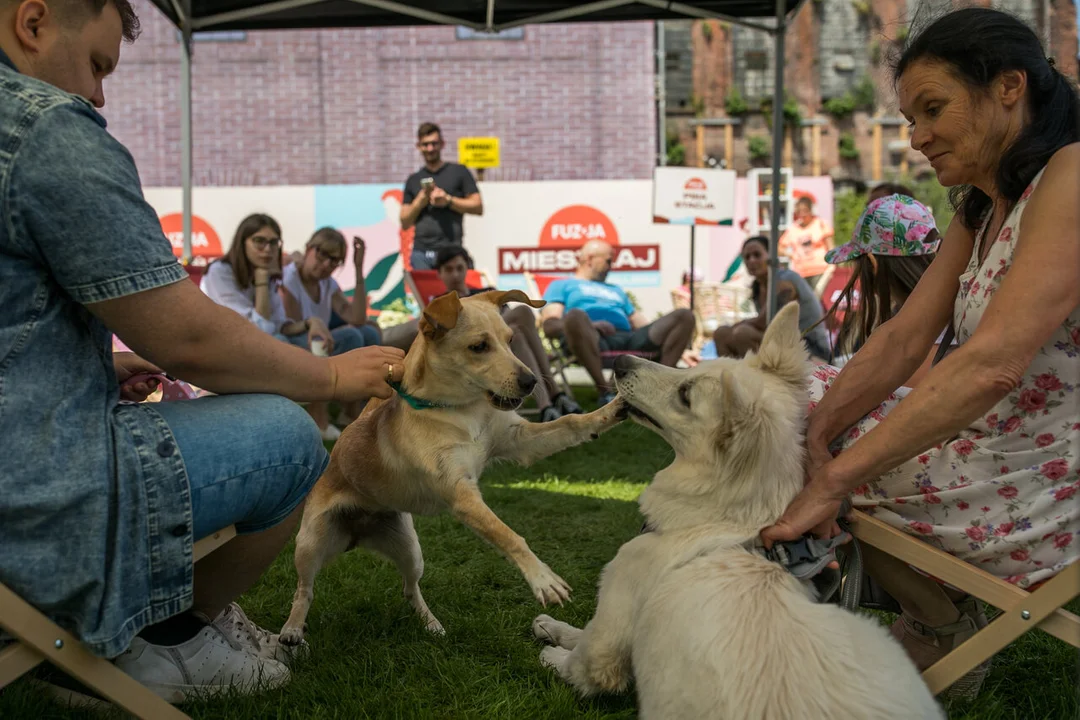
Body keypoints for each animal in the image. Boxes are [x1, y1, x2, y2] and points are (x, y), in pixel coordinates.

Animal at [280, 287, 626, 643]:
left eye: (510, 339)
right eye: (479, 347)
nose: (532, 381)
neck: (461, 411)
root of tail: (357, 536)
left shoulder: (520, 442)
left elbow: (571, 424)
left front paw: (613, 407)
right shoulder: (462, 495)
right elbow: (508, 535)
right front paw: (542, 578)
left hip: (410, 549)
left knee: (410, 588)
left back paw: (431, 624)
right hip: (310, 544)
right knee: (304, 590)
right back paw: (292, 629)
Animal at [533, 302, 946, 720]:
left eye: (686, 394)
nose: (620, 362)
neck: (729, 524)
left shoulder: (610, 625)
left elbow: (583, 652)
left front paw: (553, 647)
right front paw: (554, 631)